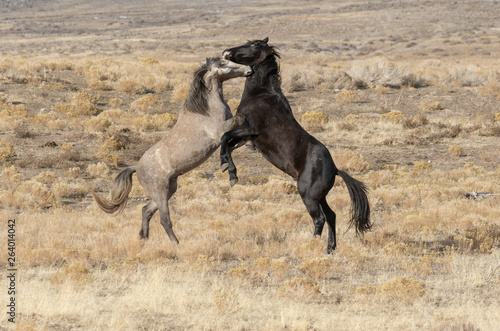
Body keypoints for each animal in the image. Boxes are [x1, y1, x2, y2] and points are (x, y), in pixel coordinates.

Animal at [92, 57, 252, 244]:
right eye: (223, 64)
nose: (249, 69)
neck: (205, 111)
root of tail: (136, 168)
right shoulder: (219, 132)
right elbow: (238, 121)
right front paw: (228, 168)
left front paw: (231, 169)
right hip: (160, 192)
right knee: (164, 219)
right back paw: (175, 243)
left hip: (169, 190)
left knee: (146, 210)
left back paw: (144, 239)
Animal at [220, 37, 372, 253]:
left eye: (253, 45)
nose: (226, 52)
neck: (261, 95)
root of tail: (335, 169)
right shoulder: (248, 137)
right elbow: (229, 144)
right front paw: (231, 173)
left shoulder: (248, 129)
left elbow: (225, 137)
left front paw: (226, 168)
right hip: (319, 197)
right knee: (331, 215)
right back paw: (330, 249)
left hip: (308, 196)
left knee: (320, 219)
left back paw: (312, 244)